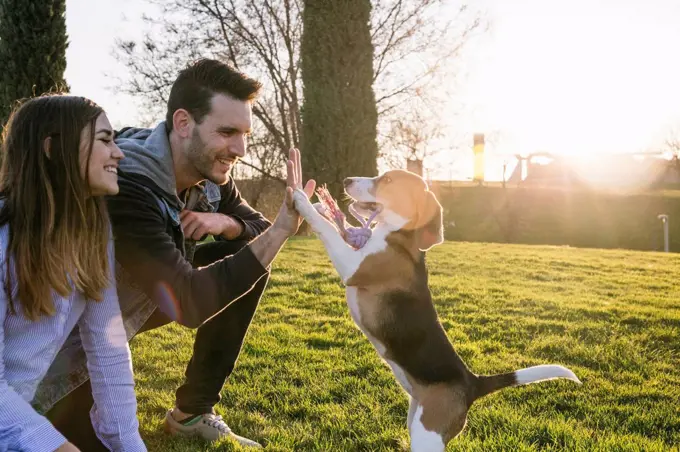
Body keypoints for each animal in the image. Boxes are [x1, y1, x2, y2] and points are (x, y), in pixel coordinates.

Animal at [290, 170, 580, 452]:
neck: (398, 235)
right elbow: (341, 227)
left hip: (428, 435)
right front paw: (323, 206)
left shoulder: (353, 266)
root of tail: (472, 383)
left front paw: (305, 202)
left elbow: (328, 230)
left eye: (387, 179)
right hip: (416, 422)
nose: (347, 180)